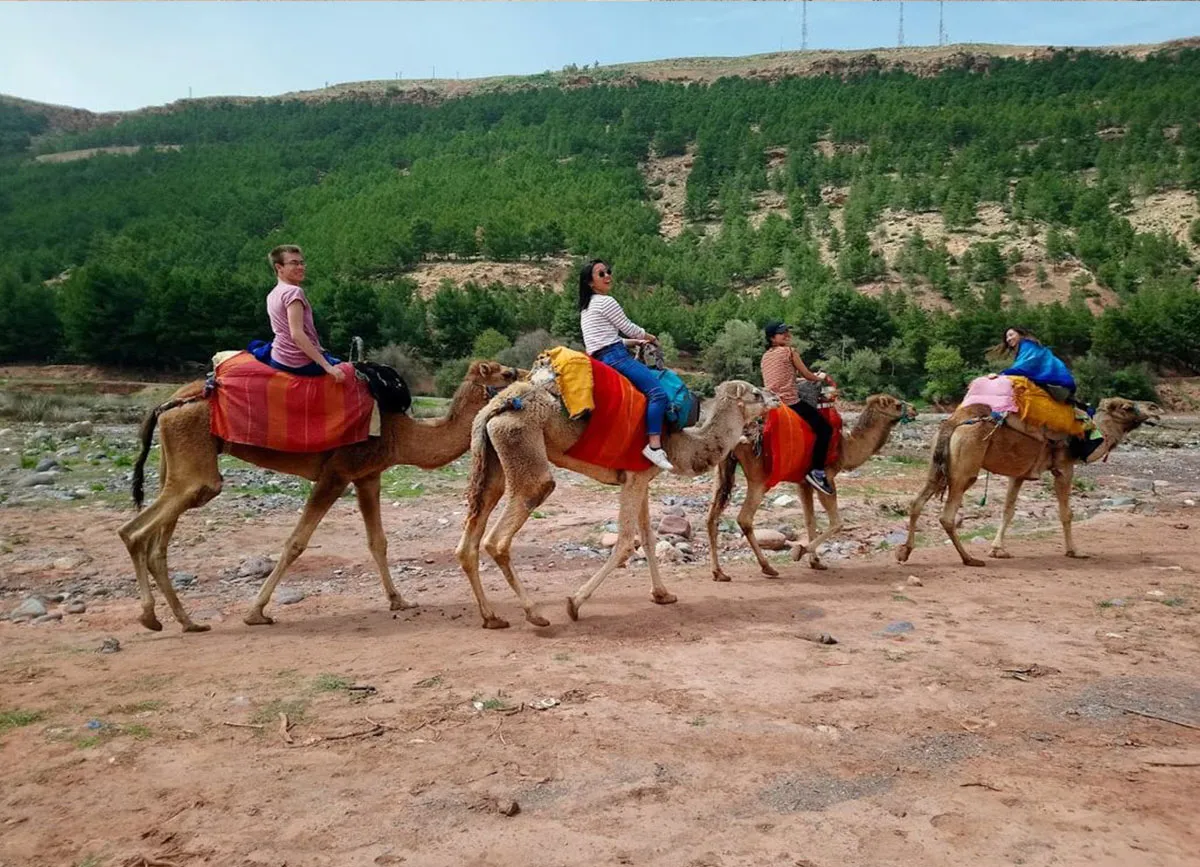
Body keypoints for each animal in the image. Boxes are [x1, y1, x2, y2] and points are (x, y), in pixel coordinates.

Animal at [115, 355, 520, 629]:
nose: (522, 377)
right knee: (134, 531)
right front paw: (256, 612)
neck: (398, 434)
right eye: (506, 373)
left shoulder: (368, 476)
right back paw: (152, 616)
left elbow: (378, 542)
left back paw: (186, 621)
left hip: (179, 460)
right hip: (197, 466)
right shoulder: (336, 474)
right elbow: (296, 542)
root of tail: (167, 403)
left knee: (158, 540)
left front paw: (398, 600)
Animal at [453, 374, 782, 624]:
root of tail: (498, 405)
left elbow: (648, 537)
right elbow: (625, 542)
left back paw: (492, 617)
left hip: (491, 461)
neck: (681, 444)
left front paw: (663, 595)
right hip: (523, 447)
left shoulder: (641, 479)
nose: (777, 397)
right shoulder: (634, 478)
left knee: (469, 541)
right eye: (755, 393)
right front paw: (574, 603)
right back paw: (534, 613)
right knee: (500, 536)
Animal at [705, 396, 912, 576]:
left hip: (722, 467)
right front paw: (800, 551)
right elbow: (837, 522)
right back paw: (767, 567)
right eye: (896, 404)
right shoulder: (827, 477)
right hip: (759, 478)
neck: (845, 448)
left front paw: (816, 561)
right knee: (744, 518)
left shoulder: (803, 483)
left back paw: (719, 573)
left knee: (712, 517)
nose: (913, 409)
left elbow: (810, 520)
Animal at [897, 396, 1156, 564]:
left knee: (917, 502)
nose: (1154, 408)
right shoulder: (1064, 466)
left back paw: (905, 552)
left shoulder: (1019, 473)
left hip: (935, 464)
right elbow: (1066, 513)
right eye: (1127, 407)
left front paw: (998, 550)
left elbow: (1008, 509)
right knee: (947, 516)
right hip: (965, 466)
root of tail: (953, 423)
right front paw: (1075, 551)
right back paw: (969, 558)